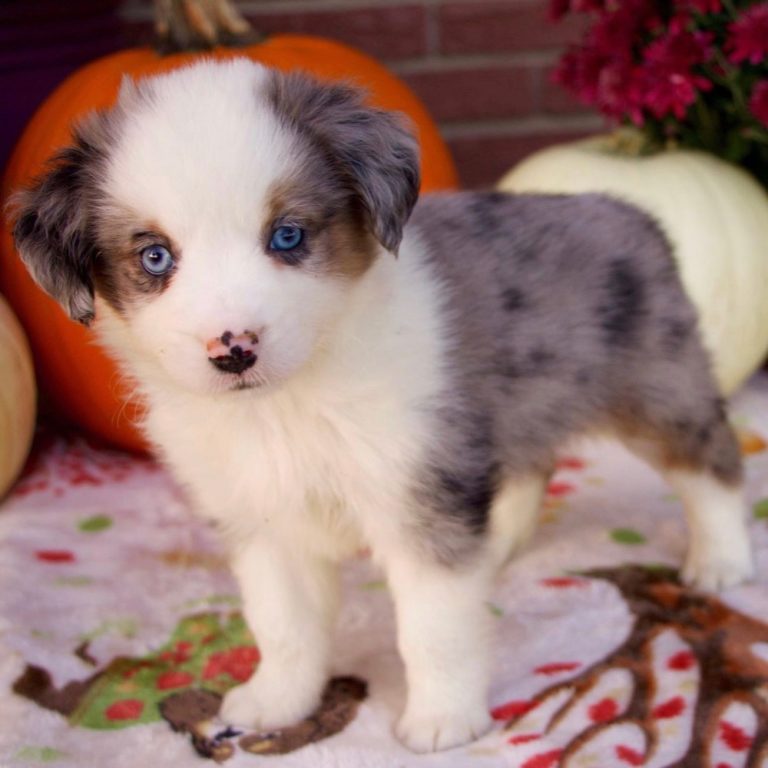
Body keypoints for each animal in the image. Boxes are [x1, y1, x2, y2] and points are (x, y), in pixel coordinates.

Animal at [13, 58, 756, 752]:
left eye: (287, 236)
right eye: (155, 257)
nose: (234, 350)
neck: (287, 402)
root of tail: (631, 212)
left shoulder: (418, 493)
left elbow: (433, 627)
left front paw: (442, 720)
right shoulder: (264, 518)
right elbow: (283, 624)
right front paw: (275, 702)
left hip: (657, 386)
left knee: (710, 460)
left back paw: (722, 558)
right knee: (529, 466)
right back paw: (501, 545)